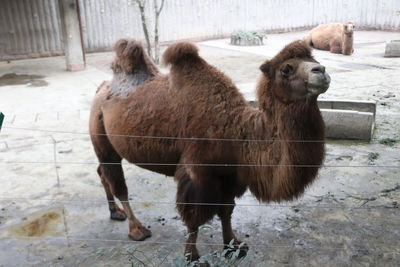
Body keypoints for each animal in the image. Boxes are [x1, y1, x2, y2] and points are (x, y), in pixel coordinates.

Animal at [90, 38, 332, 260]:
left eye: (314, 60)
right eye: (286, 69)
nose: (321, 71)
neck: (237, 131)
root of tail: (101, 89)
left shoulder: (230, 175)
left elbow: (226, 210)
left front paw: (234, 246)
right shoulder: (198, 173)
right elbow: (194, 218)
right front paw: (192, 256)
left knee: (102, 173)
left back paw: (115, 213)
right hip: (102, 137)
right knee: (118, 183)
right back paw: (137, 229)